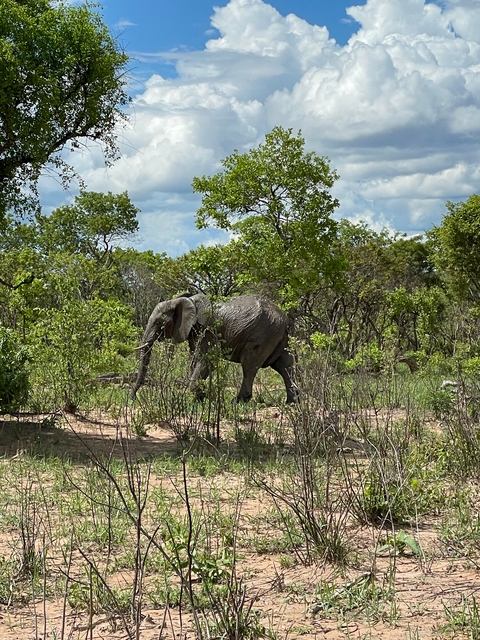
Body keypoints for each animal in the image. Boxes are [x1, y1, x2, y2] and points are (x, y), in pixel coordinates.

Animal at [131, 293, 299, 403]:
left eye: (159, 322)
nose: (132, 399)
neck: (184, 300)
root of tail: (286, 320)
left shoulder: (206, 329)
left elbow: (206, 360)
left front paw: (202, 398)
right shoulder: (194, 331)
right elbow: (194, 359)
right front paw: (200, 399)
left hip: (263, 335)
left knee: (250, 365)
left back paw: (237, 402)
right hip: (280, 337)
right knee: (285, 365)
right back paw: (292, 402)